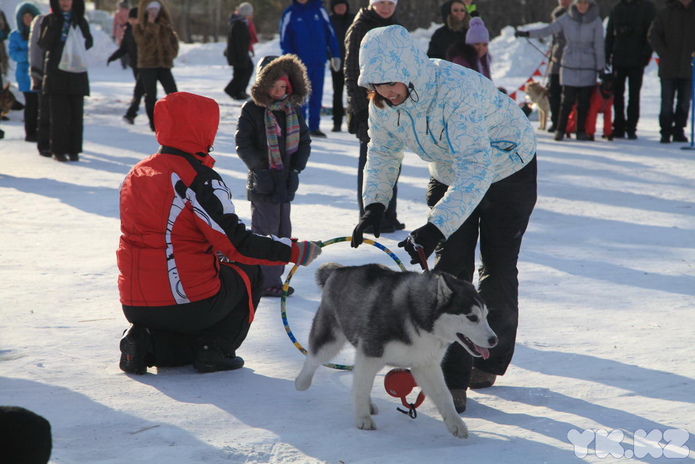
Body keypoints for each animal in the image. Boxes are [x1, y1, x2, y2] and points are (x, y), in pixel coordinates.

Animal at [294, 262, 500, 436]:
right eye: (472, 317)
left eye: (486, 316)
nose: (494, 340)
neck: (418, 319)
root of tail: (339, 269)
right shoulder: (371, 354)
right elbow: (361, 388)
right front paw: (362, 419)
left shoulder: (426, 364)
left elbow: (444, 395)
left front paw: (456, 423)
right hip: (331, 339)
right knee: (314, 358)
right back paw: (301, 382)